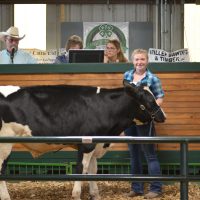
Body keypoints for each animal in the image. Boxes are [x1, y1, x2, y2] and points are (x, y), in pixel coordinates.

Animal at [0, 80, 166, 200]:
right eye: (150, 100)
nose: (163, 116)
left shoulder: (95, 143)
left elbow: (93, 170)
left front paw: (95, 195)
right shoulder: (86, 144)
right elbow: (81, 168)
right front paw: (76, 195)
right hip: (5, 143)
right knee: (1, 169)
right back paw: (6, 197)